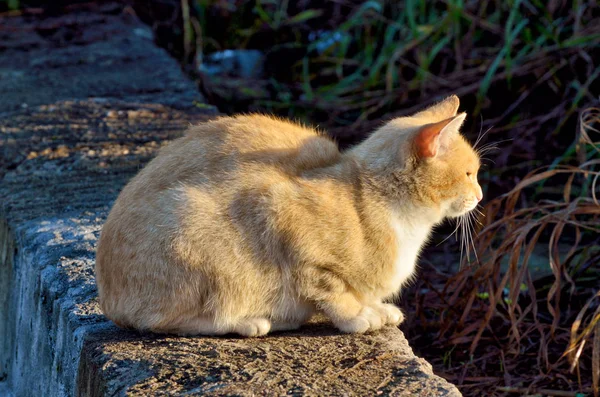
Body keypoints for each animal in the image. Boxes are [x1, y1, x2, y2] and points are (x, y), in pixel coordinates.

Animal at [97, 94, 482, 336]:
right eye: (469, 174)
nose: (480, 194)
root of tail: (108, 300)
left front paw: (379, 308)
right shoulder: (282, 217)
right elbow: (333, 293)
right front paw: (359, 316)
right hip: (192, 238)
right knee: (162, 321)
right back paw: (251, 321)